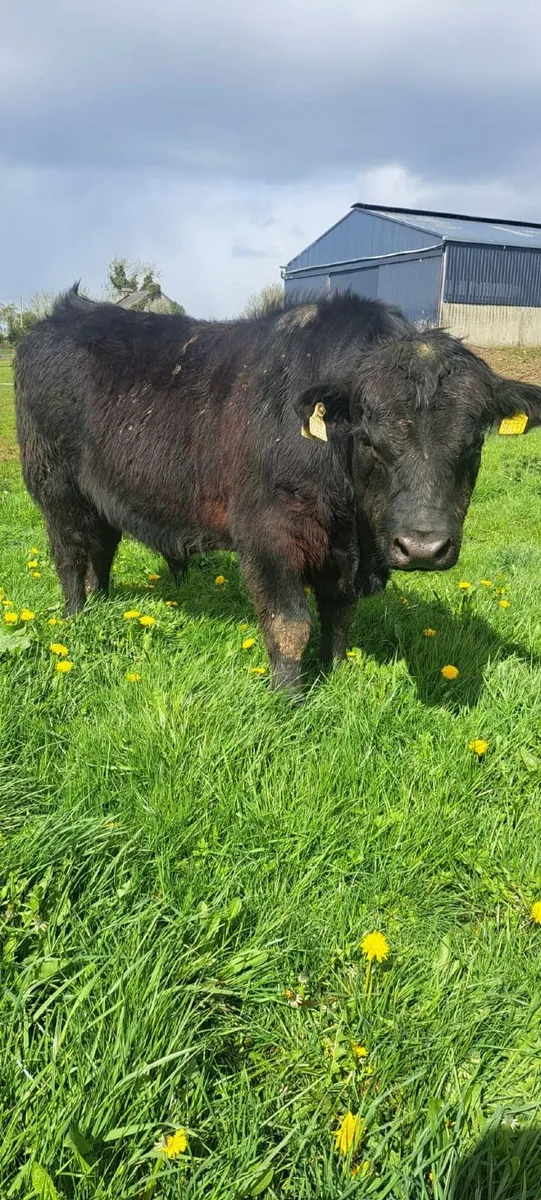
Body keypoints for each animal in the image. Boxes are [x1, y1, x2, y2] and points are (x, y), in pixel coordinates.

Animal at [15, 286, 541, 695]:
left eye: (473, 442)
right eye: (370, 440)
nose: (423, 547)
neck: (353, 524)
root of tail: (59, 318)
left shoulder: (341, 554)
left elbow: (340, 613)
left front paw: (336, 670)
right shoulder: (269, 533)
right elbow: (291, 624)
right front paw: (288, 698)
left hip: (99, 494)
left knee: (101, 548)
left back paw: (102, 604)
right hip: (55, 486)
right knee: (70, 553)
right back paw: (77, 617)